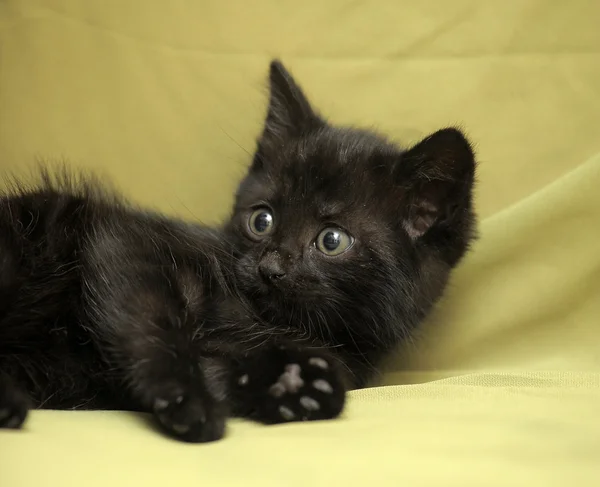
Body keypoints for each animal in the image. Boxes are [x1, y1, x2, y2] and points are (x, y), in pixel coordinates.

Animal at [1, 60, 478, 442]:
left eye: (332, 240)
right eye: (261, 220)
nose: (271, 267)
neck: (263, 320)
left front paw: (294, 383)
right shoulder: (124, 241)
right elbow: (151, 319)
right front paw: (187, 396)